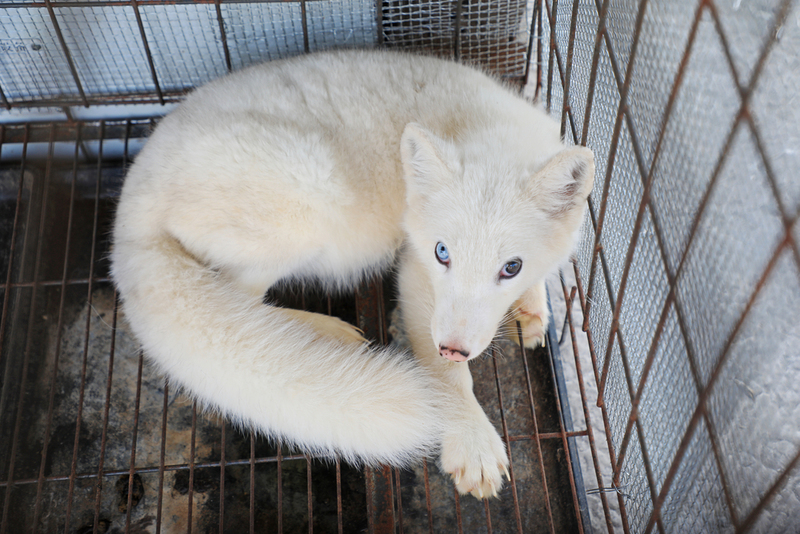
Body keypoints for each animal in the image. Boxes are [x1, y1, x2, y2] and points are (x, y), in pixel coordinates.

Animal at [109, 48, 592, 500]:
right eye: (442, 253)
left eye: (511, 267)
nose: (454, 348)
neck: (486, 128)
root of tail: (130, 199)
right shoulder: (414, 268)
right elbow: (449, 377)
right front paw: (472, 441)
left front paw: (530, 308)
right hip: (311, 197)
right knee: (240, 298)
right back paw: (324, 332)